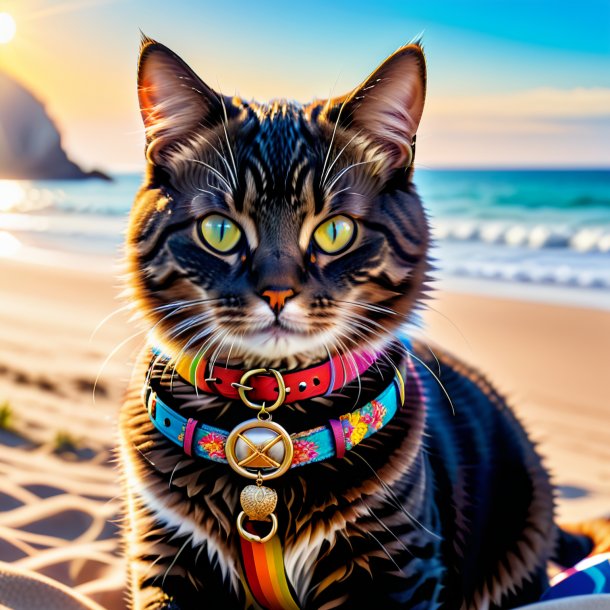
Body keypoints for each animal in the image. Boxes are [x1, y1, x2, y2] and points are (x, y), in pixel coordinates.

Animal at [119, 35, 592, 604]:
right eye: (219, 230)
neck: (269, 422)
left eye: (335, 231)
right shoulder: (166, 557)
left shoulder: (396, 567)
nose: (277, 291)